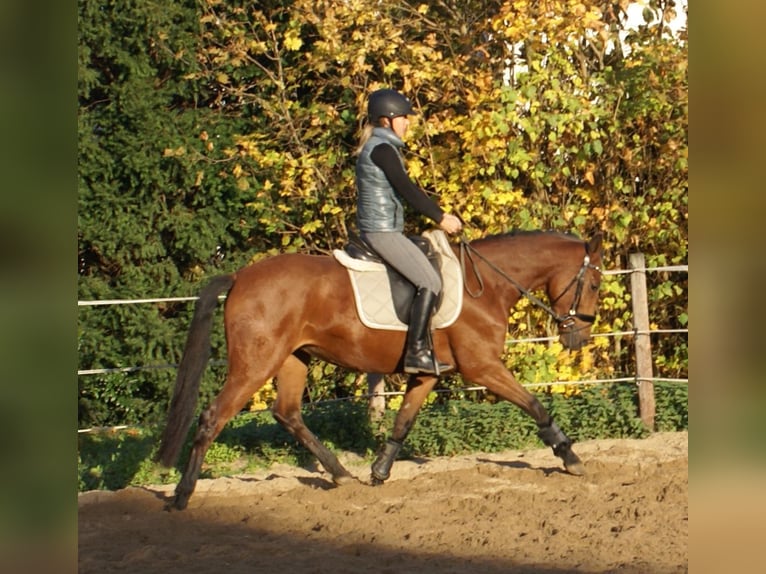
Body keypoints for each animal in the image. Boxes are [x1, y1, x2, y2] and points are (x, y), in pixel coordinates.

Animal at [156, 230, 604, 510]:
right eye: (596, 284)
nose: (578, 337)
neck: (486, 287)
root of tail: (241, 276)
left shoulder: (426, 373)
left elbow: (403, 422)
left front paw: (379, 471)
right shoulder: (483, 367)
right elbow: (535, 405)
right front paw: (569, 456)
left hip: (293, 359)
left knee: (288, 413)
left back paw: (340, 475)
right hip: (255, 363)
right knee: (214, 416)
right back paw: (182, 495)